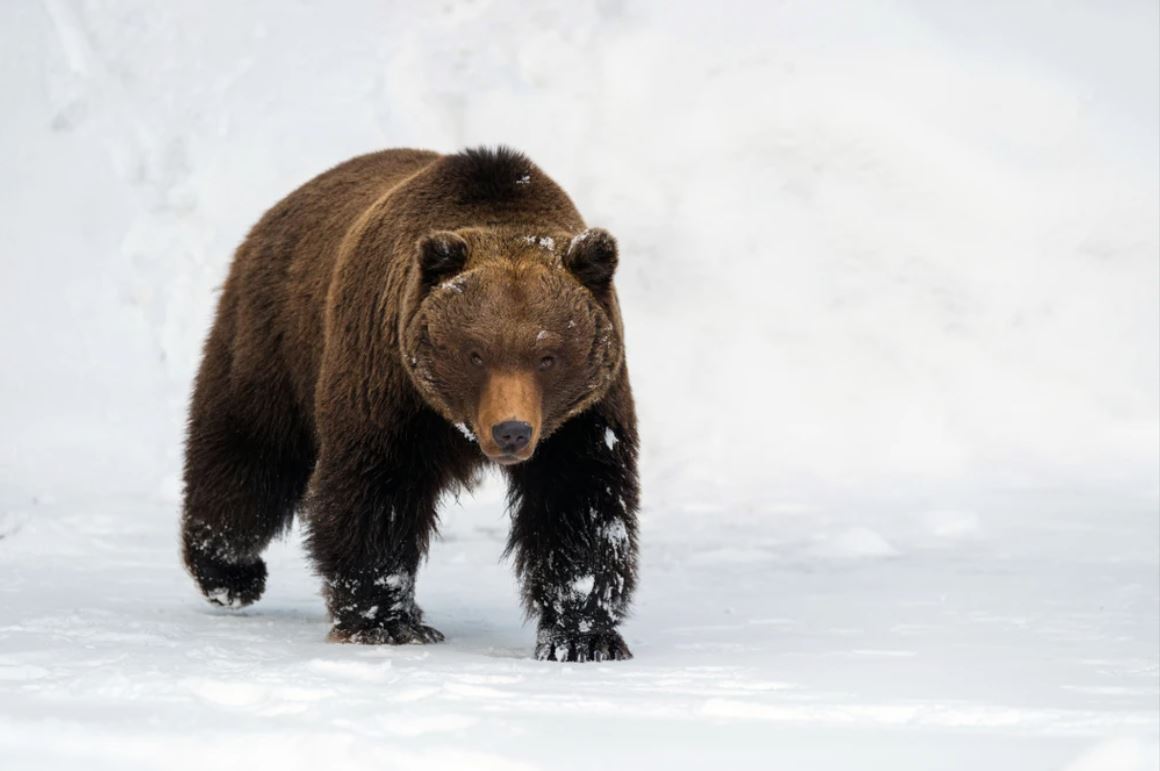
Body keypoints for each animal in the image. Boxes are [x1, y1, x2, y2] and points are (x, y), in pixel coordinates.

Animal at [180, 147, 639, 662]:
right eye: (475, 352)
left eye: (548, 356)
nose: (512, 431)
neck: (453, 422)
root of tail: (277, 211)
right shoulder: (390, 385)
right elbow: (375, 490)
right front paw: (386, 622)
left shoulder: (582, 416)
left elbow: (581, 505)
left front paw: (583, 636)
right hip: (277, 339)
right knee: (249, 457)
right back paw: (229, 572)